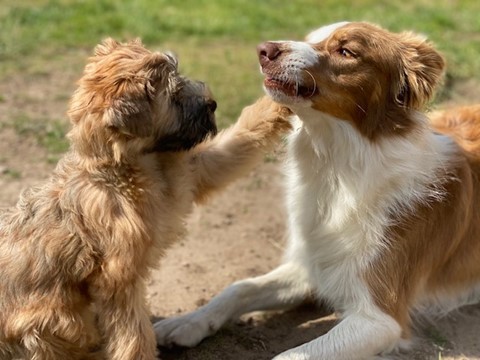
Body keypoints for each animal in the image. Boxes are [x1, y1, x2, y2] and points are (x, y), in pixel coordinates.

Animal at [0, 38, 292, 358]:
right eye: (174, 95)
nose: (212, 104)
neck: (132, 170)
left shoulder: (196, 167)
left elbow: (242, 135)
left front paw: (283, 96)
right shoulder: (120, 280)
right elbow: (134, 336)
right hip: (50, 322)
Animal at [156, 21, 480, 358]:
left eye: (346, 51)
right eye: (311, 39)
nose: (264, 49)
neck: (337, 168)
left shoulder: (381, 317)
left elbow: (290, 353)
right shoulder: (314, 263)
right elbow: (240, 287)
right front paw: (187, 321)